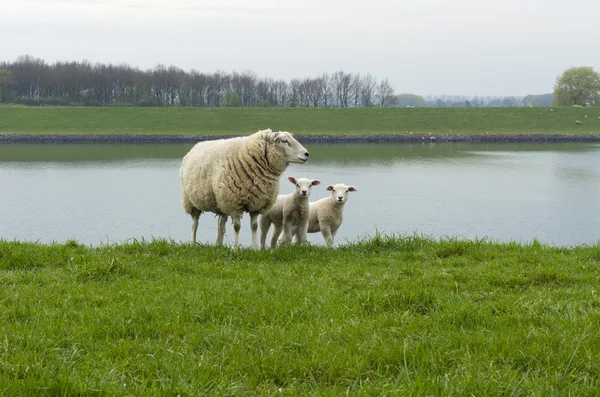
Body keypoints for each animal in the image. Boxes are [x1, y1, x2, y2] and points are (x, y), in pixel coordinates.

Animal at [178, 129, 310, 248]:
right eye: (284, 141)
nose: (306, 154)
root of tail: (197, 145)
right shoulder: (234, 203)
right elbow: (237, 227)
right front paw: (236, 248)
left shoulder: (256, 202)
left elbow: (254, 226)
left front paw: (255, 248)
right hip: (191, 201)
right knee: (195, 224)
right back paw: (193, 244)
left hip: (221, 201)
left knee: (221, 225)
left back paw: (219, 245)